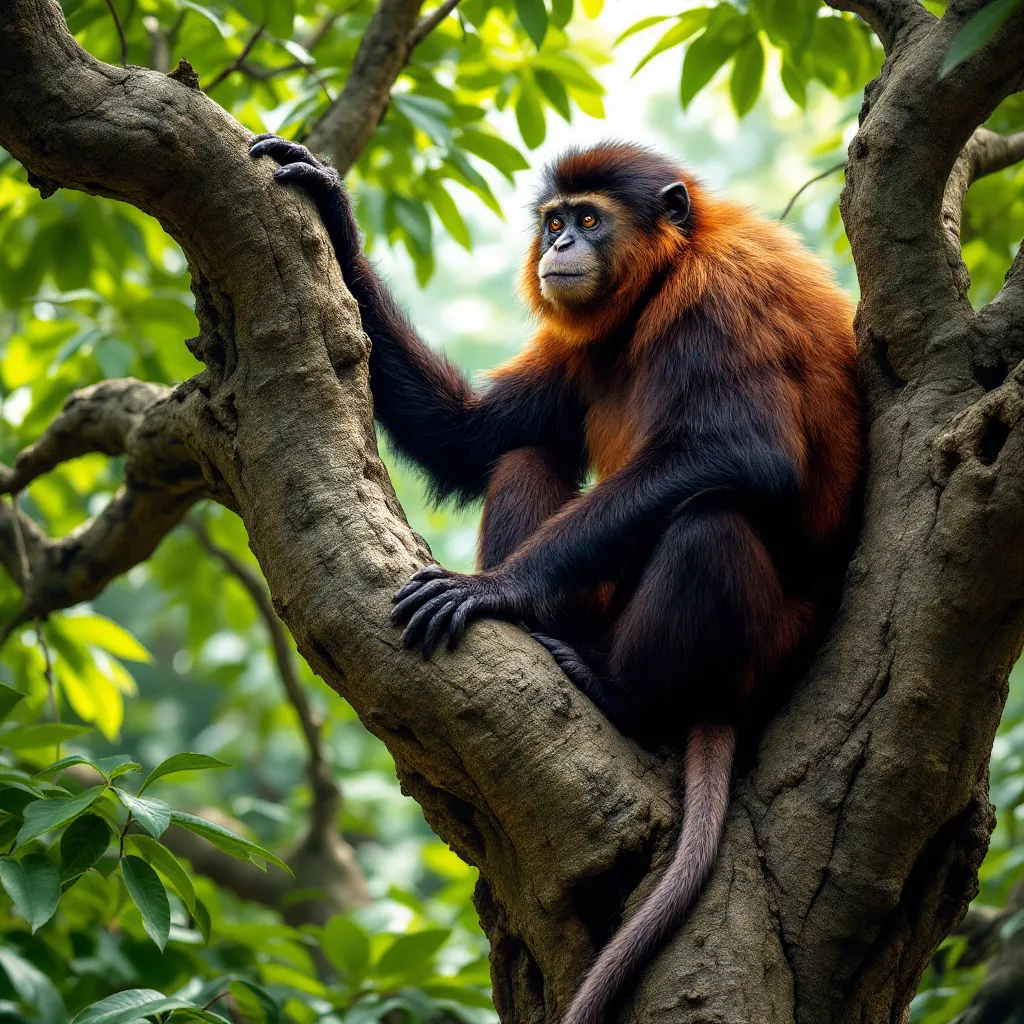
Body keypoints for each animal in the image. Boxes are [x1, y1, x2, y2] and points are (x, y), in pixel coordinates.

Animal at [250, 135, 862, 1024]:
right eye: (554, 221)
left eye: (590, 220)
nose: (560, 246)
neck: (660, 285)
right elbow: (471, 440)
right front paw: (333, 211)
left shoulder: (724, 296)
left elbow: (744, 453)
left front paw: (492, 591)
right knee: (524, 455)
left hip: (762, 647)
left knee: (710, 518)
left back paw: (625, 696)